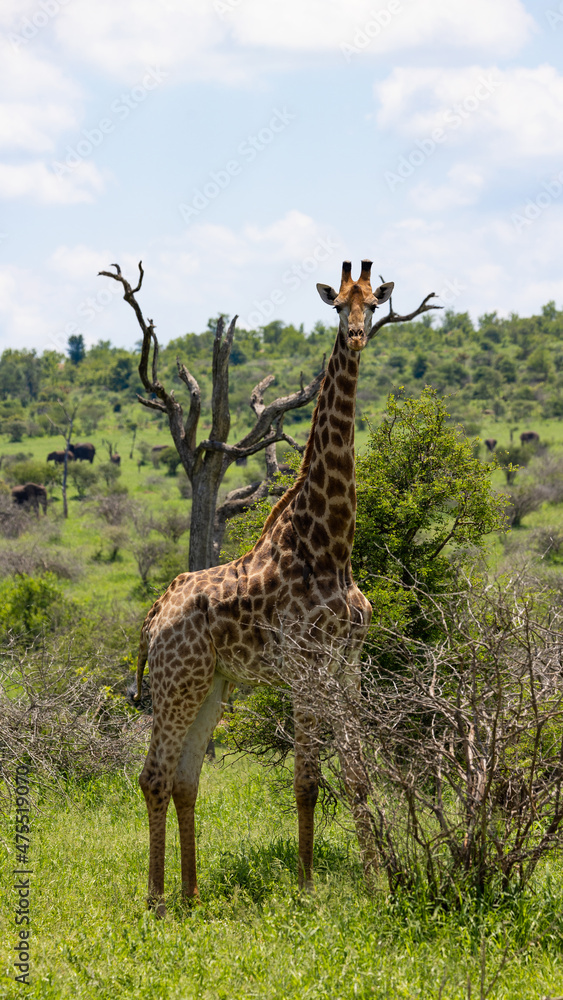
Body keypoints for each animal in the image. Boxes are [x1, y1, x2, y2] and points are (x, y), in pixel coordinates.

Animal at [136, 260, 394, 913]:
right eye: (339, 307)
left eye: (374, 303)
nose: (357, 336)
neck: (329, 547)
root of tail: (153, 615)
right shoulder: (305, 667)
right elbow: (307, 782)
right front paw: (305, 888)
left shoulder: (347, 665)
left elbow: (357, 777)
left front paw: (376, 884)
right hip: (176, 681)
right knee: (153, 775)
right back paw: (155, 900)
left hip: (212, 685)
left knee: (185, 777)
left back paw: (191, 894)